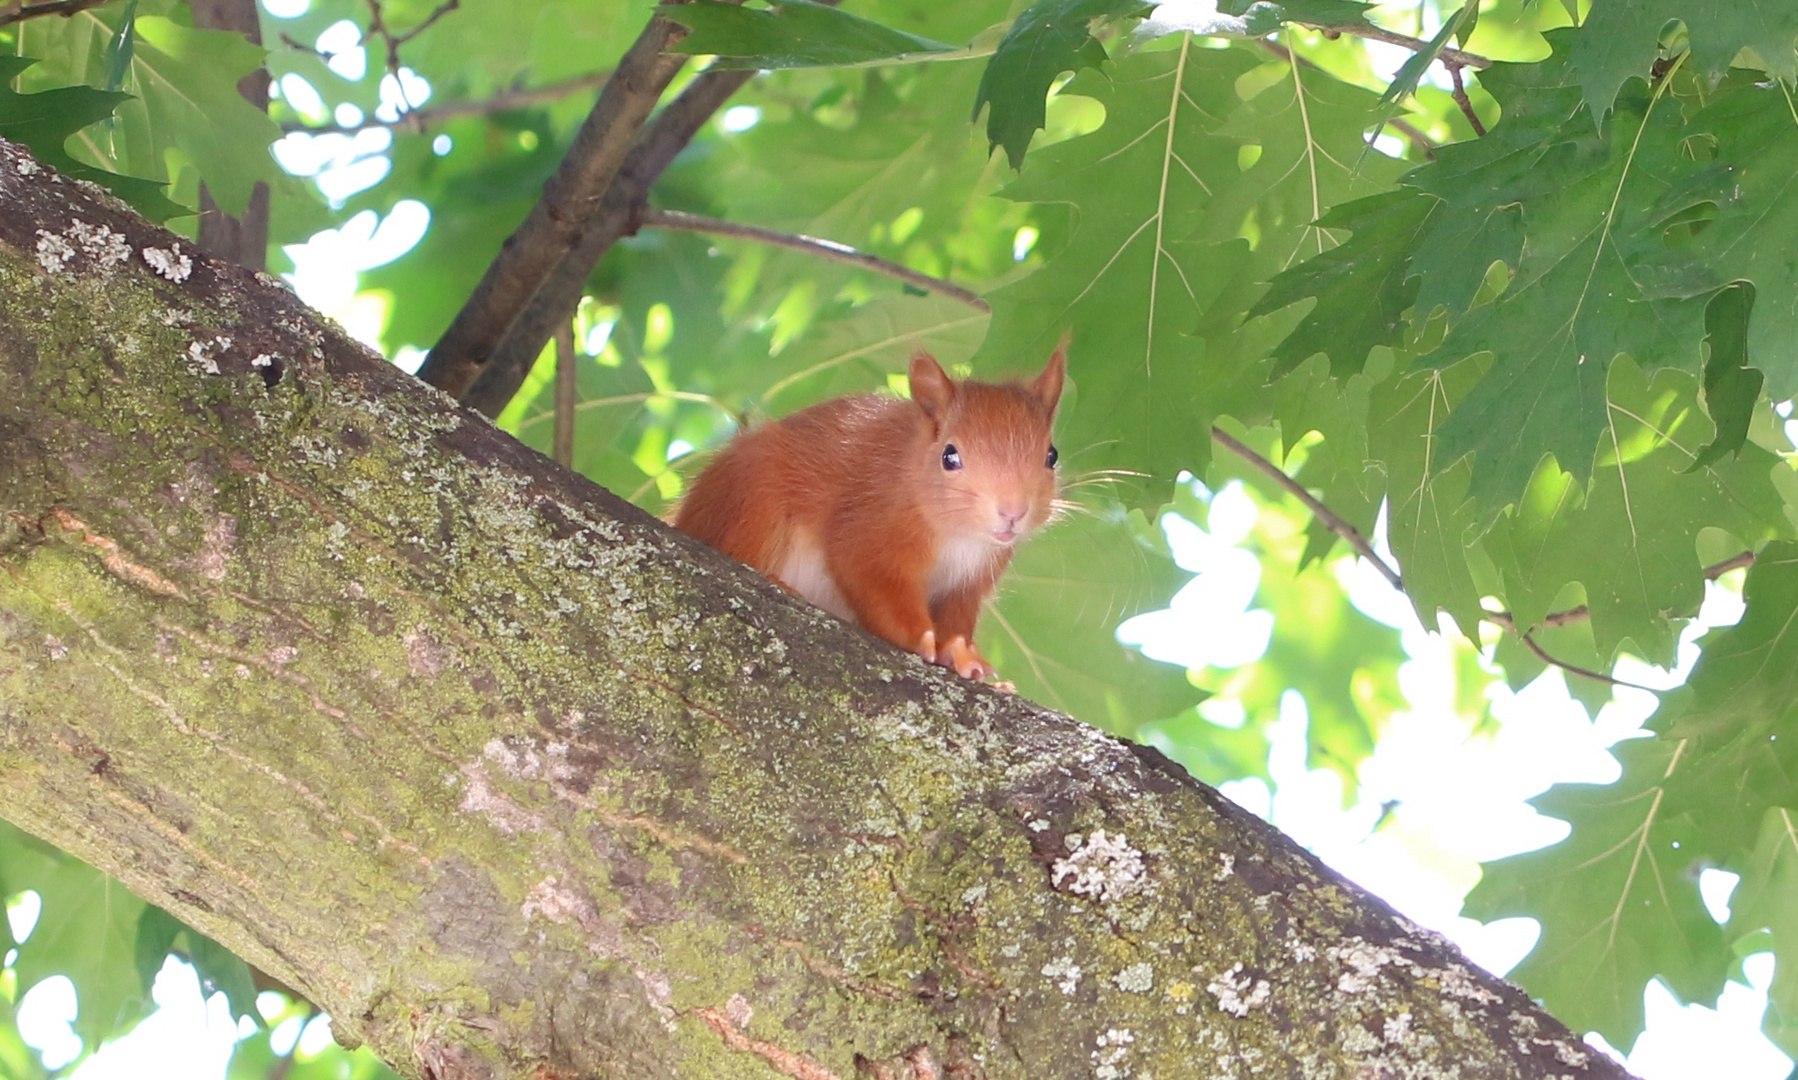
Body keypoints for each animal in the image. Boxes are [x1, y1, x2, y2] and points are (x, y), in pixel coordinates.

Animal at [676, 341, 1064, 679]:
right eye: (949, 456)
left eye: (1052, 455)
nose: (1012, 512)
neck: (960, 537)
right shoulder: (870, 527)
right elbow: (876, 585)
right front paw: (920, 638)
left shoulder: (967, 582)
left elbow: (957, 621)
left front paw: (964, 657)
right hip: (754, 498)